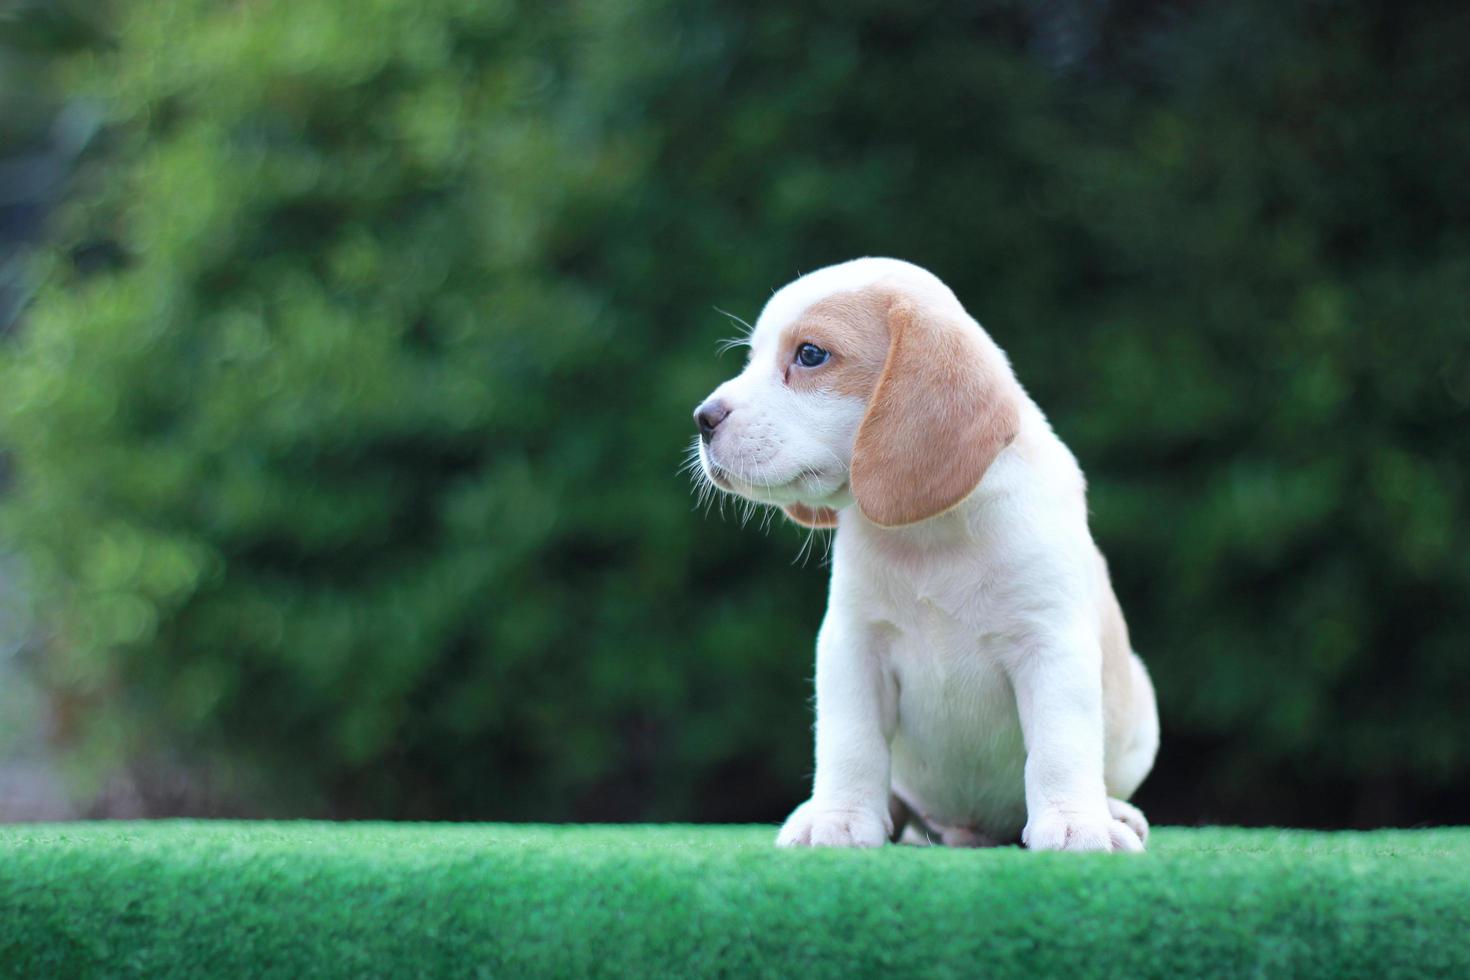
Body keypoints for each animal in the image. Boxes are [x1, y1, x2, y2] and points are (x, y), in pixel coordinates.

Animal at [690, 258, 1158, 852]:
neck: (930, 538)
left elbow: (1060, 746)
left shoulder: (1051, 645)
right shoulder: (852, 647)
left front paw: (1076, 824)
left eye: (810, 354)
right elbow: (851, 743)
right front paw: (838, 819)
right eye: (752, 357)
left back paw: (1115, 812)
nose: (702, 418)